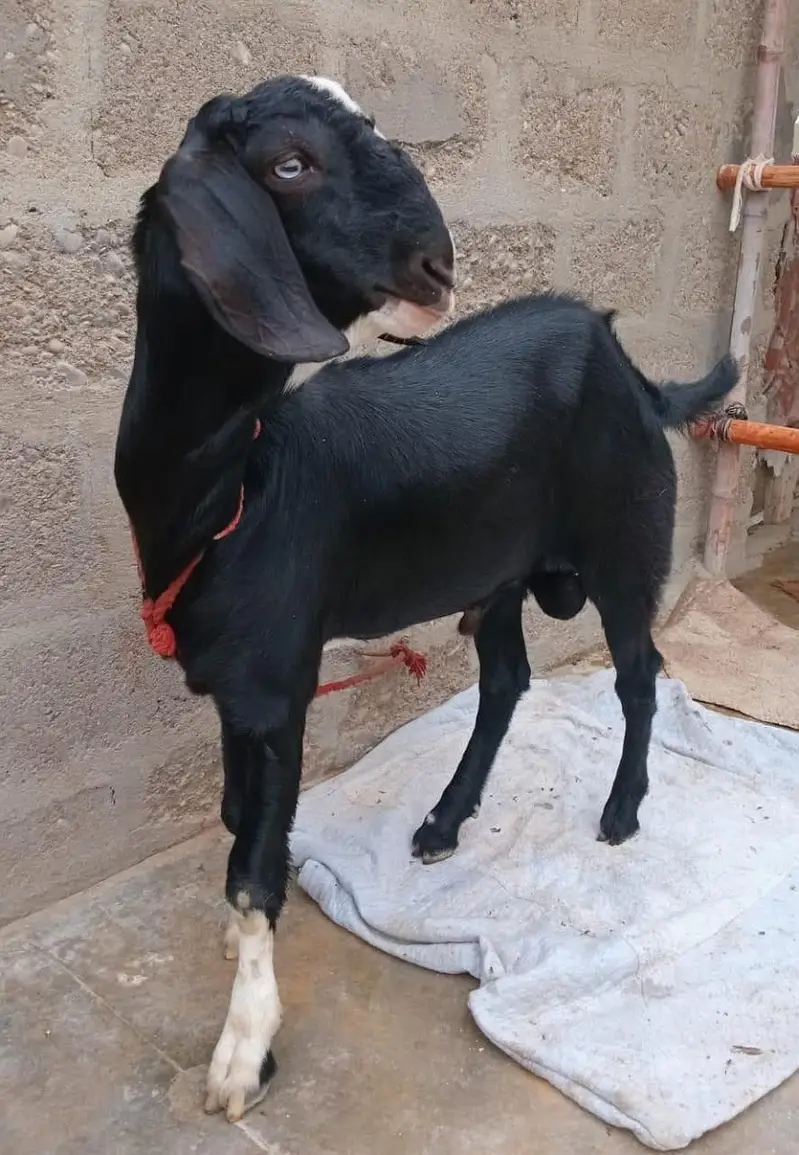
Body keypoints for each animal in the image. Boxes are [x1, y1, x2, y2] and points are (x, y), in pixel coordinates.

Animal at [115, 75, 738, 1124]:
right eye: (290, 163)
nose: (435, 264)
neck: (231, 486)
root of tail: (630, 368)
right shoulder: (235, 690)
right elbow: (240, 822)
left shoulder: (274, 686)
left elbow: (251, 868)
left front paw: (244, 1053)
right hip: (500, 574)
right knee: (506, 677)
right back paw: (445, 822)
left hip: (625, 545)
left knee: (639, 671)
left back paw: (619, 810)